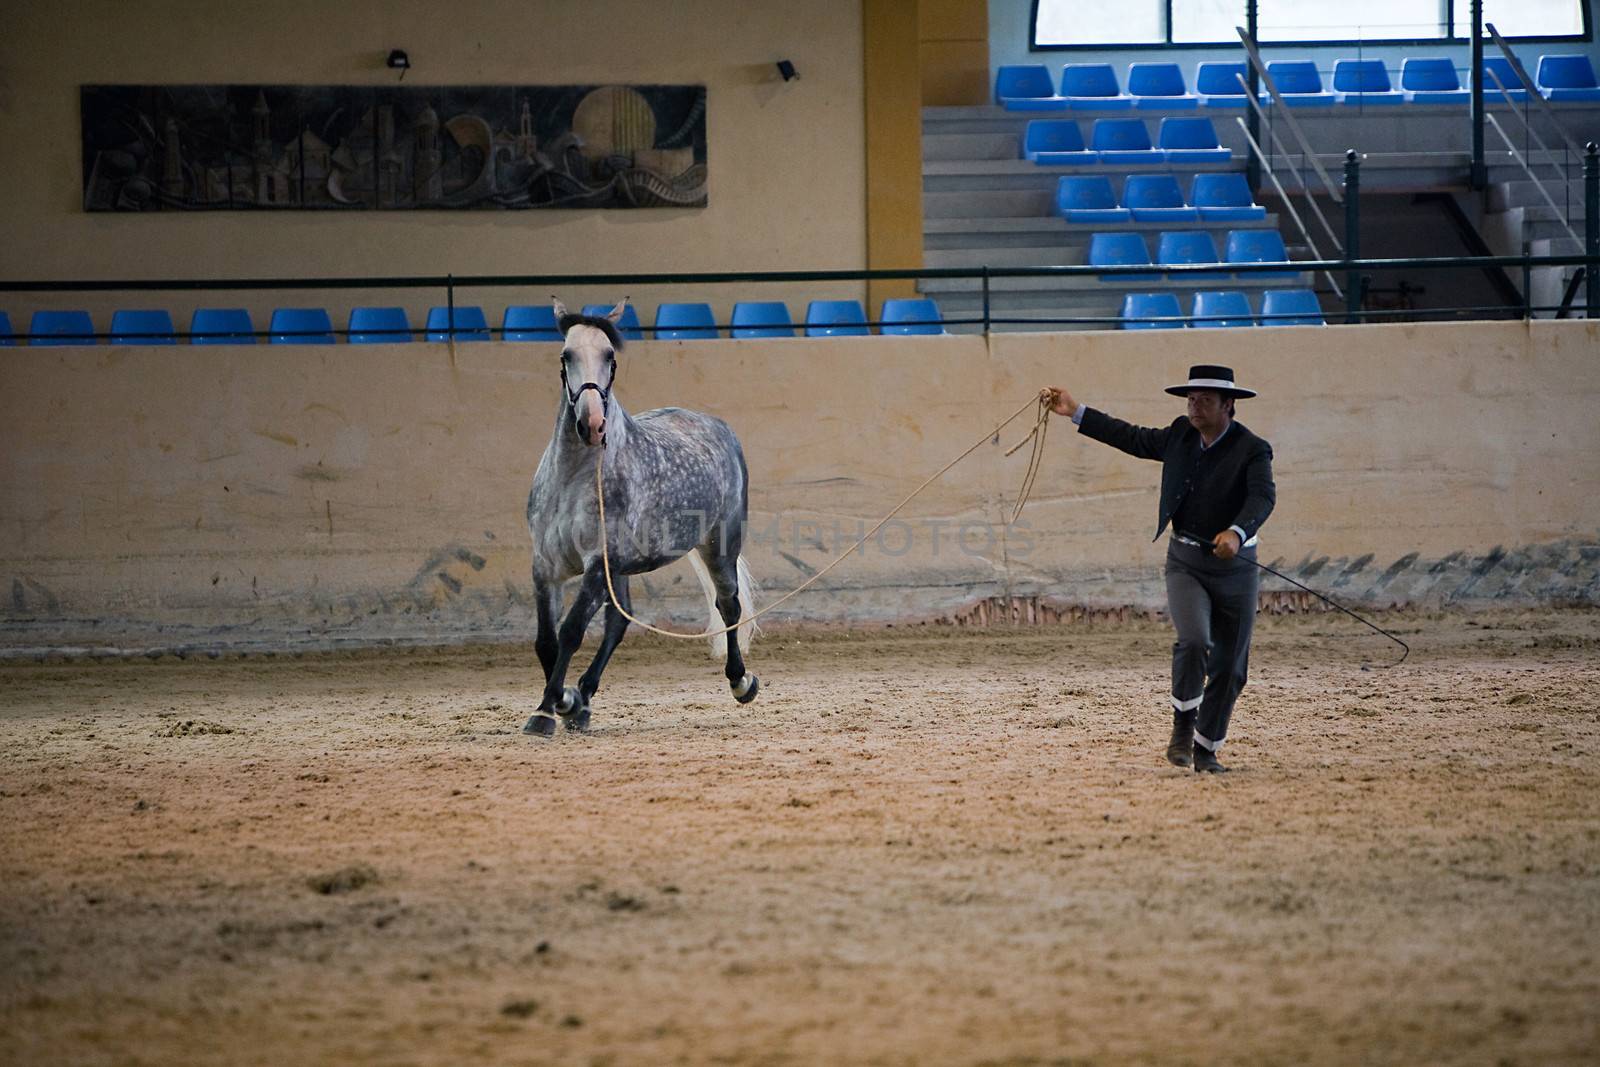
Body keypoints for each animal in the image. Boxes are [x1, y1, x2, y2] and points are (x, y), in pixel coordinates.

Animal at [518, 295, 755, 739]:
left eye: (610, 356)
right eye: (566, 355)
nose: (592, 424)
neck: (574, 478)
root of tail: (718, 426)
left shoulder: (597, 565)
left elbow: (571, 631)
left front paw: (546, 710)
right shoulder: (546, 567)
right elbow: (546, 641)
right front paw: (565, 701)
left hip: (720, 542)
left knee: (728, 605)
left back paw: (741, 681)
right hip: (623, 569)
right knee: (618, 622)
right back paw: (583, 699)